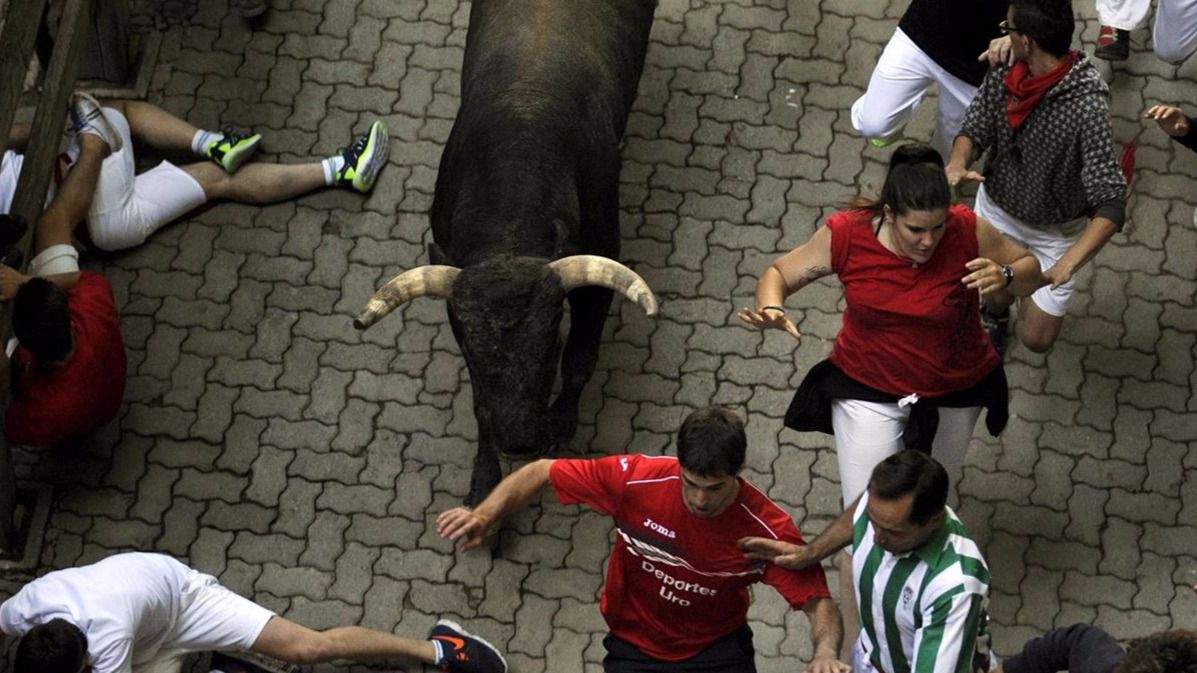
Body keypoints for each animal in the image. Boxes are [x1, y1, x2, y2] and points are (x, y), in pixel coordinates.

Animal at [349, 0, 660, 502]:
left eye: (551, 340)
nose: (518, 442)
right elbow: (480, 401)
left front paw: (561, 422)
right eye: (475, 353)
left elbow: (581, 359)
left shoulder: (599, 277)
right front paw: (484, 479)